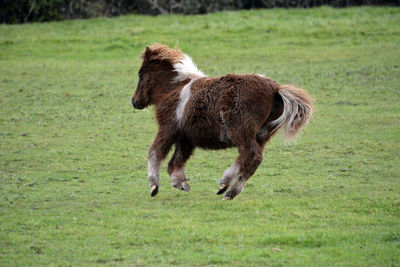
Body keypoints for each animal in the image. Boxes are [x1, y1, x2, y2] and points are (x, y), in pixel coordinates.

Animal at [131, 44, 312, 200]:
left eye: (140, 74)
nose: (134, 101)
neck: (174, 89)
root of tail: (276, 90)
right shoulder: (186, 137)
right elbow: (176, 161)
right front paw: (180, 183)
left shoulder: (167, 129)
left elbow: (155, 152)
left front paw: (153, 186)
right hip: (260, 136)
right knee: (249, 158)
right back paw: (226, 188)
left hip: (241, 132)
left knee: (252, 155)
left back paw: (227, 189)